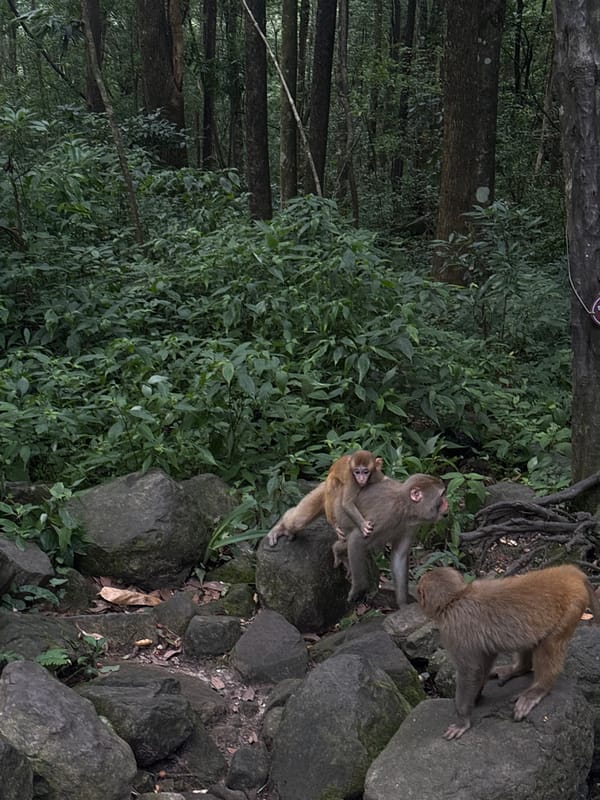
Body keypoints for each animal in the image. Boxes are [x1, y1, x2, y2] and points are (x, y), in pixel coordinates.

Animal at [268, 473, 448, 607]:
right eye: (441, 496)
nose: (447, 504)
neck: (405, 507)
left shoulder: (410, 526)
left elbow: (399, 556)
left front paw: (403, 604)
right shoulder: (384, 516)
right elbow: (357, 541)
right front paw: (358, 591)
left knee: (350, 542)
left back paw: (338, 550)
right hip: (325, 496)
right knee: (299, 520)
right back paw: (281, 527)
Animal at [416, 565, 600, 740]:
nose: (419, 600)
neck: (457, 597)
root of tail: (570, 572)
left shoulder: (454, 630)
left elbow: (470, 672)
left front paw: (463, 720)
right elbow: (486, 658)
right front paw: (476, 697)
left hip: (572, 607)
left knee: (549, 643)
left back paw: (538, 689)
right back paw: (518, 669)